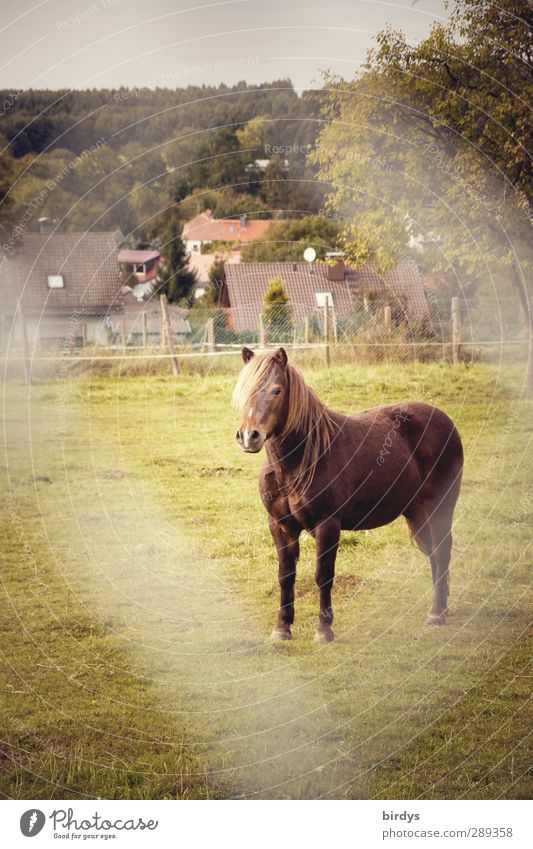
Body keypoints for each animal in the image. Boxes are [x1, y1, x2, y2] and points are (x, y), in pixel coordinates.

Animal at [233, 348, 462, 640]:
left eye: (277, 390)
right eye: (244, 389)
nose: (249, 436)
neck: (301, 461)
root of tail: (445, 421)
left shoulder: (327, 525)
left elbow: (323, 575)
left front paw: (324, 630)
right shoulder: (280, 526)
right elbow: (285, 575)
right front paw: (282, 628)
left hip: (440, 508)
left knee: (442, 551)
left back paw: (436, 614)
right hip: (416, 513)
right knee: (434, 553)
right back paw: (440, 609)